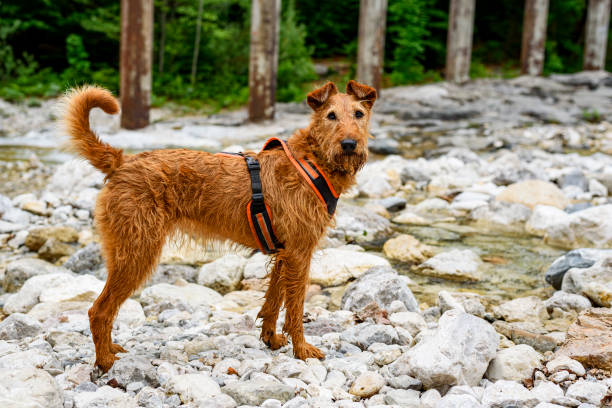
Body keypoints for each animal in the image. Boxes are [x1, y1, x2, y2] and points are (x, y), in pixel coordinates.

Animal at [63, 79, 378, 370]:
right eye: (331, 116)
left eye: (359, 114)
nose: (349, 144)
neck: (312, 160)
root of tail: (121, 161)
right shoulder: (300, 253)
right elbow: (296, 309)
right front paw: (301, 350)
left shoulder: (285, 253)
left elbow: (273, 301)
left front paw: (271, 338)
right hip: (138, 252)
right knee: (99, 310)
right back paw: (105, 361)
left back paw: (111, 350)